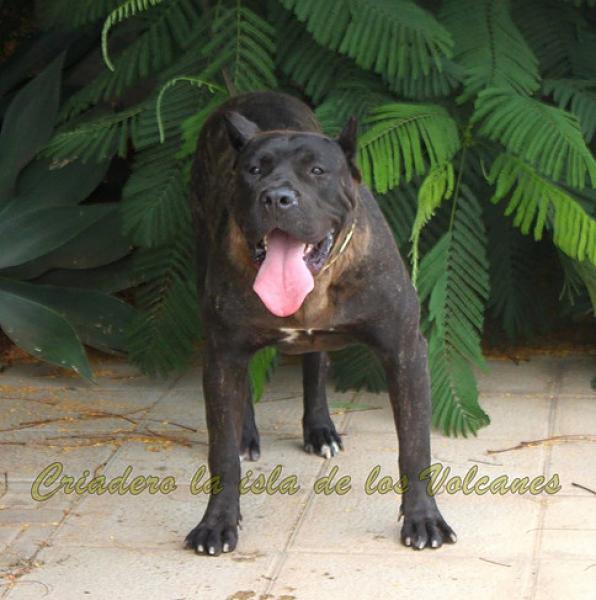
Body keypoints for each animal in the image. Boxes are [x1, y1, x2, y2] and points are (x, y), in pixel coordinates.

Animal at [186, 91, 456, 556]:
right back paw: (246, 435)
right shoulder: (222, 353)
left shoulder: (404, 350)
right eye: (254, 170)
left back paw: (320, 429)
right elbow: (219, 453)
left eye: (317, 171)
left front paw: (424, 519)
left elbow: (414, 445)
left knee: (315, 364)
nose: (276, 197)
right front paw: (217, 523)